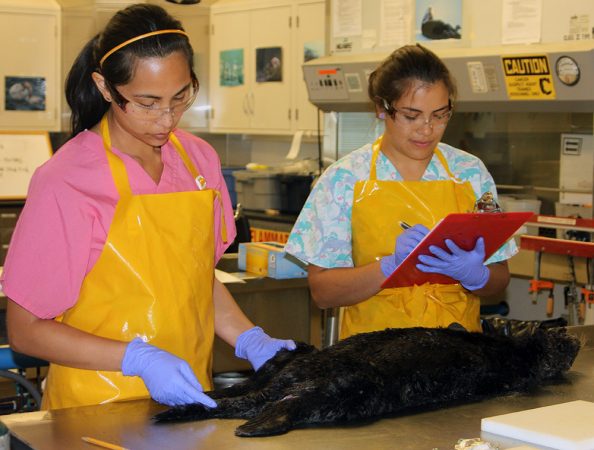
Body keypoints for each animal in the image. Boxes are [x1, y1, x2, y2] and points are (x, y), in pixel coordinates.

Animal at [153, 326, 580, 438]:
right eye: (560, 335)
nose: (574, 337)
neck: (511, 350)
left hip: (331, 383)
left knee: (269, 399)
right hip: (322, 370)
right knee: (257, 393)